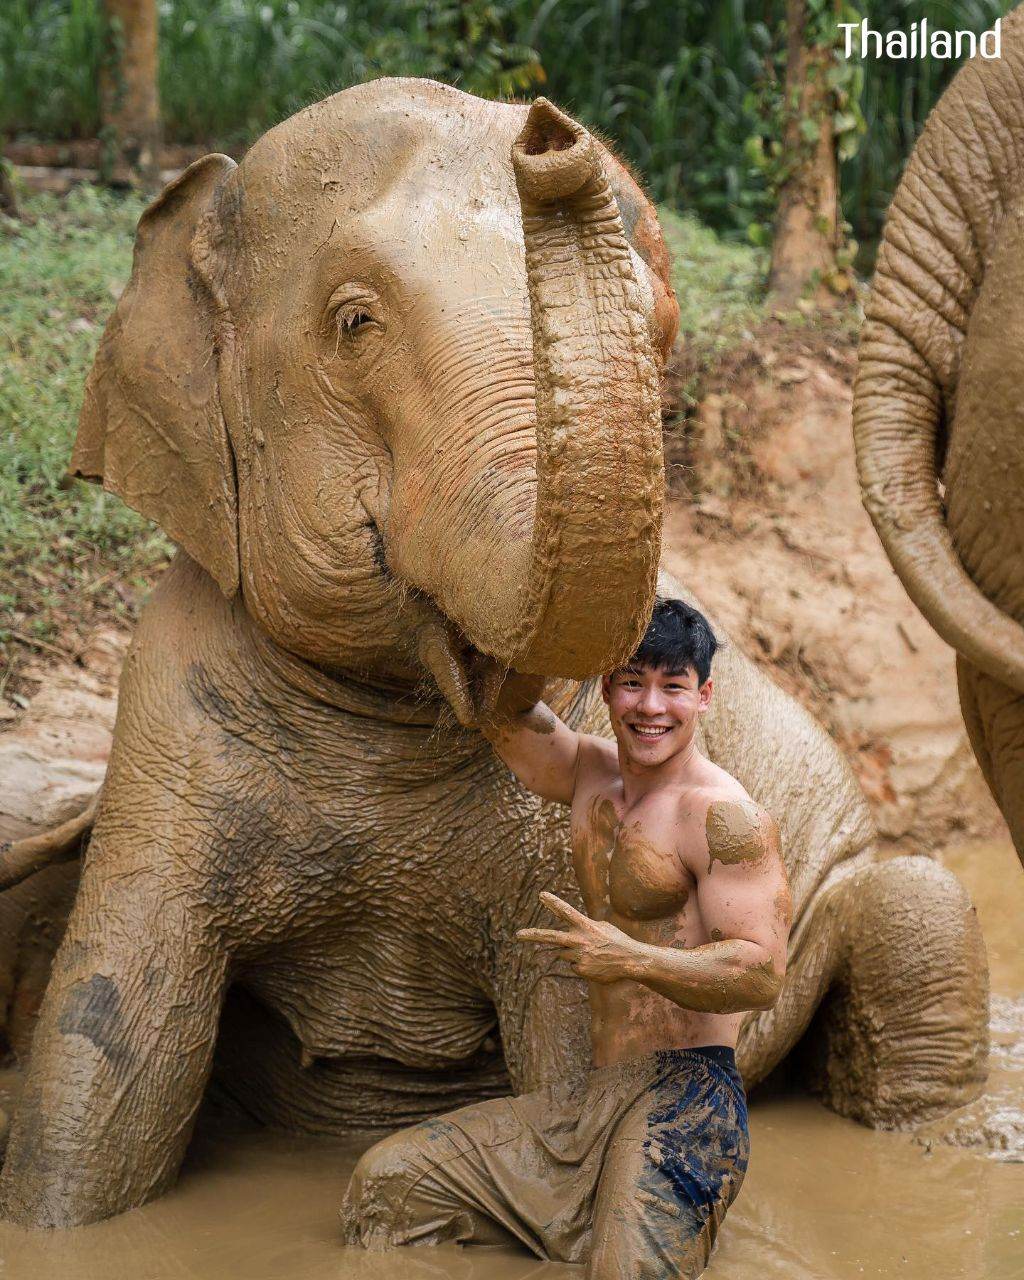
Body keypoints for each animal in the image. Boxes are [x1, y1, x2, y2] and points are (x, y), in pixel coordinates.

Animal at [0, 79, 988, 1231]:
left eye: (660, 332)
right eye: (354, 322)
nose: (550, 132)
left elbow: (567, 1041)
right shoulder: (163, 731)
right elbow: (104, 1063)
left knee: (916, 908)